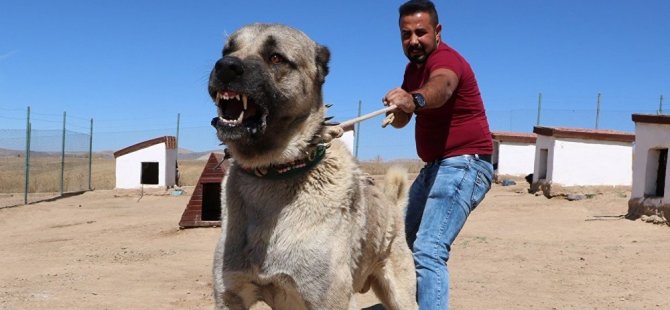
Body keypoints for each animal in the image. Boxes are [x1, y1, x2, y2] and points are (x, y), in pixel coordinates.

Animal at [210, 23, 418, 308]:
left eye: (276, 57)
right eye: (227, 50)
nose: (225, 67)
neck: (274, 173)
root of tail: (392, 207)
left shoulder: (329, 299)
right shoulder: (230, 296)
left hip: (400, 295)